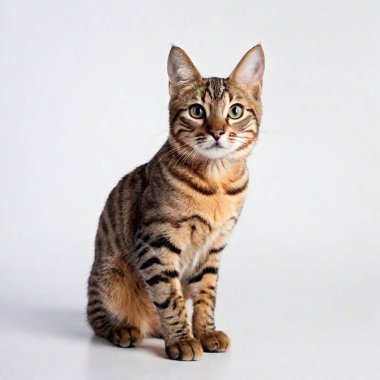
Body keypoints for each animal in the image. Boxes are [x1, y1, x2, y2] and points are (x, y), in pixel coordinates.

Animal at [87, 43, 264, 360]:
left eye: (235, 111)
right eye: (196, 111)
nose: (217, 131)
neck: (216, 184)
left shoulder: (213, 248)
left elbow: (206, 294)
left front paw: (205, 333)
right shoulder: (155, 243)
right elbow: (169, 297)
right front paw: (182, 339)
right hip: (110, 275)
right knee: (97, 318)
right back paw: (124, 329)